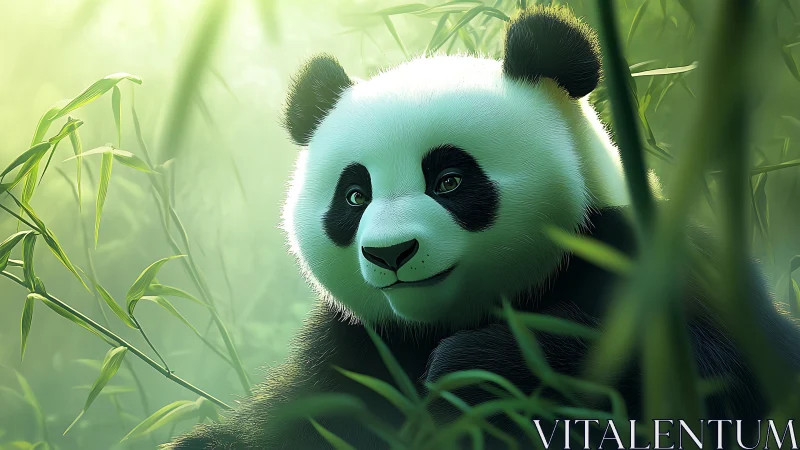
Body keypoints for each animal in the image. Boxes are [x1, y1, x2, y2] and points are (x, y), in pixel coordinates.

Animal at [168, 6, 800, 449]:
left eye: (448, 180)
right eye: (354, 196)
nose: (391, 253)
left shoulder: (647, 265)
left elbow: (717, 380)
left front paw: (476, 368)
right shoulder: (356, 349)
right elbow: (285, 424)